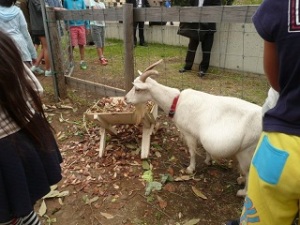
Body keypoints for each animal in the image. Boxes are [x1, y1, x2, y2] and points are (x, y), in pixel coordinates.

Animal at [124, 60, 262, 197]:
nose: (125, 98)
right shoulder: (199, 134)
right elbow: (205, 149)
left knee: (250, 173)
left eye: (137, 89)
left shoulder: (189, 133)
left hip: (247, 151)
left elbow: (192, 151)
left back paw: (243, 191)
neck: (176, 102)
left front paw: (190, 168)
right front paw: (208, 160)